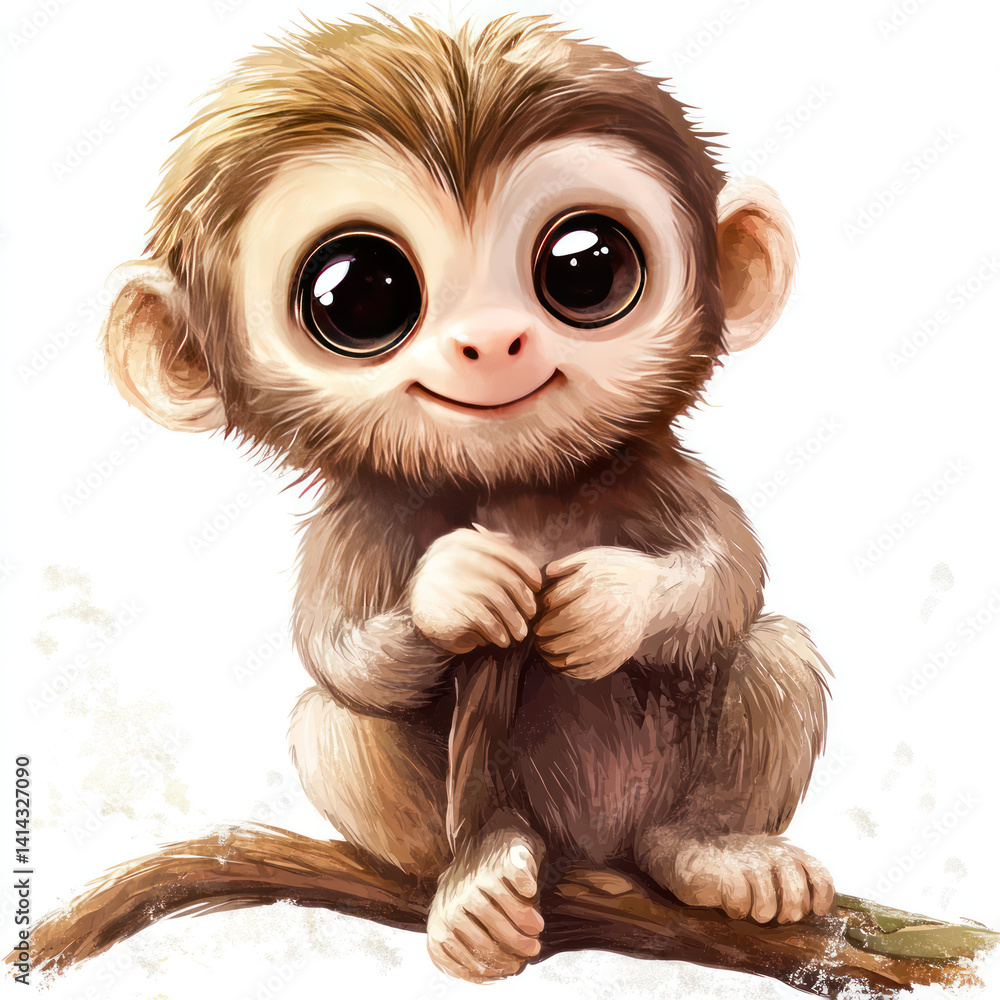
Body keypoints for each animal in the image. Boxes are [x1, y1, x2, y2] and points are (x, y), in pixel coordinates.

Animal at [100, 14, 834, 984]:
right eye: (358, 291)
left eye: (586, 266)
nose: (491, 339)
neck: (514, 485)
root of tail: (591, 855)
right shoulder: (358, 519)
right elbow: (336, 652)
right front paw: (459, 590)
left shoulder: (658, 473)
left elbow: (730, 579)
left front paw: (607, 602)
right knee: (334, 723)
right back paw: (481, 873)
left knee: (772, 651)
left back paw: (713, 853)